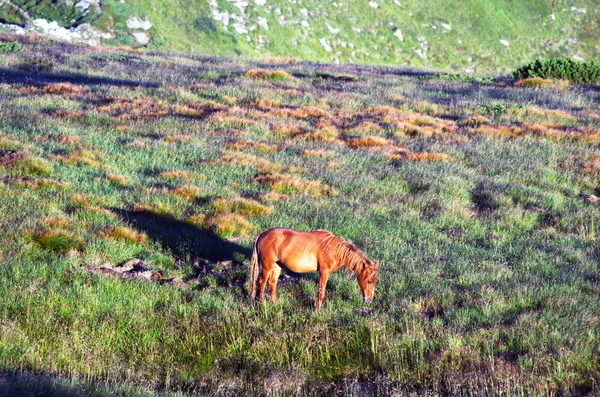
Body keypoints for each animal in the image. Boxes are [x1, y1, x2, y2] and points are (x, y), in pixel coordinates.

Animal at [250, 227, 380, 308]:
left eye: (375, 282)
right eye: (369, 281)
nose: (369, 300)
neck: (334, 250)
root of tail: (262, 234)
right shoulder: (324, 272)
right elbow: (321, 292)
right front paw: (318, 310)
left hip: (277, 266)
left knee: (272, 283)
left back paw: (276, 304)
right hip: (267, 266)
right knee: (261, 282)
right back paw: (261, 303)